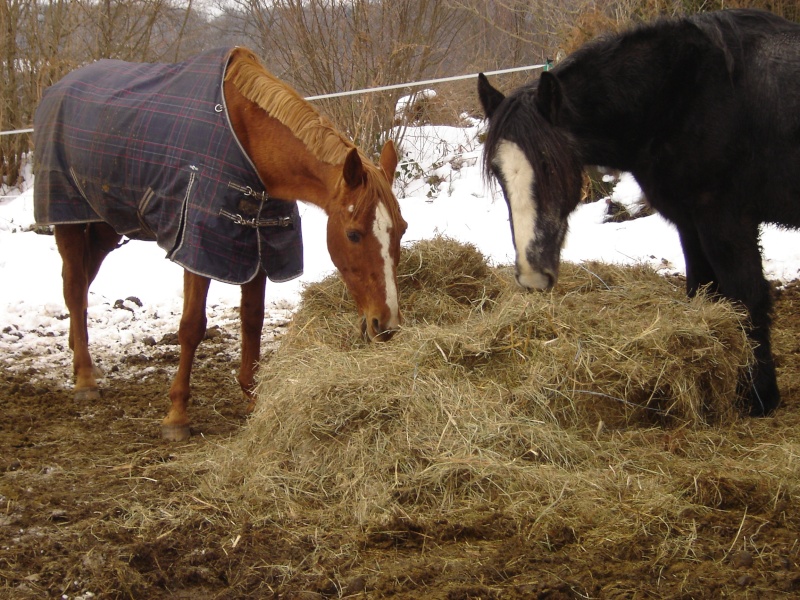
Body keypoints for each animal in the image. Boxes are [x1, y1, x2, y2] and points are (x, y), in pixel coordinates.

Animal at [32, 48, 406, 440]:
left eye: (402, 229)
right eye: (353, 234)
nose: (386, 325)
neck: (249, 144)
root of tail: (58, 88)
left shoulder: (257, 247)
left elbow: (252, 320)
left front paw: (254, 398)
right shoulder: (198, 250)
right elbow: (192, 327)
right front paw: (177, 415)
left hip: (106, 223)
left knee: (81, 283)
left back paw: (81, 360)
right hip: (69, 219)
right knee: (74, 287)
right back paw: (85, 380)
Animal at [476, 9, 800, 414]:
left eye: (550, 164)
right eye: (499, 173)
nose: (532, 275)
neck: (683, 97)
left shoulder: (726, 222)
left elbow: (748, 297)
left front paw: (759, 398)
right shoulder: (690, 223)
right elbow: (703, 291)